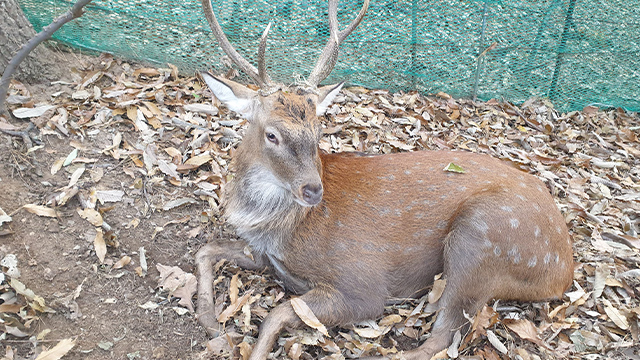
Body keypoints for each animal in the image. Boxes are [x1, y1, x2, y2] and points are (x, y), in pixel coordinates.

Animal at [195, 0, 576, 360]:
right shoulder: (264, 254)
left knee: (441, 338)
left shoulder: (362, 284)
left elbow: (276, 314)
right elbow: (206, 249)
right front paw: (211, 324)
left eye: (318, 131)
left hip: (484, 237)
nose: (313, 190)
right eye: (272, 134)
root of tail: (564, 270)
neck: (278, 228)